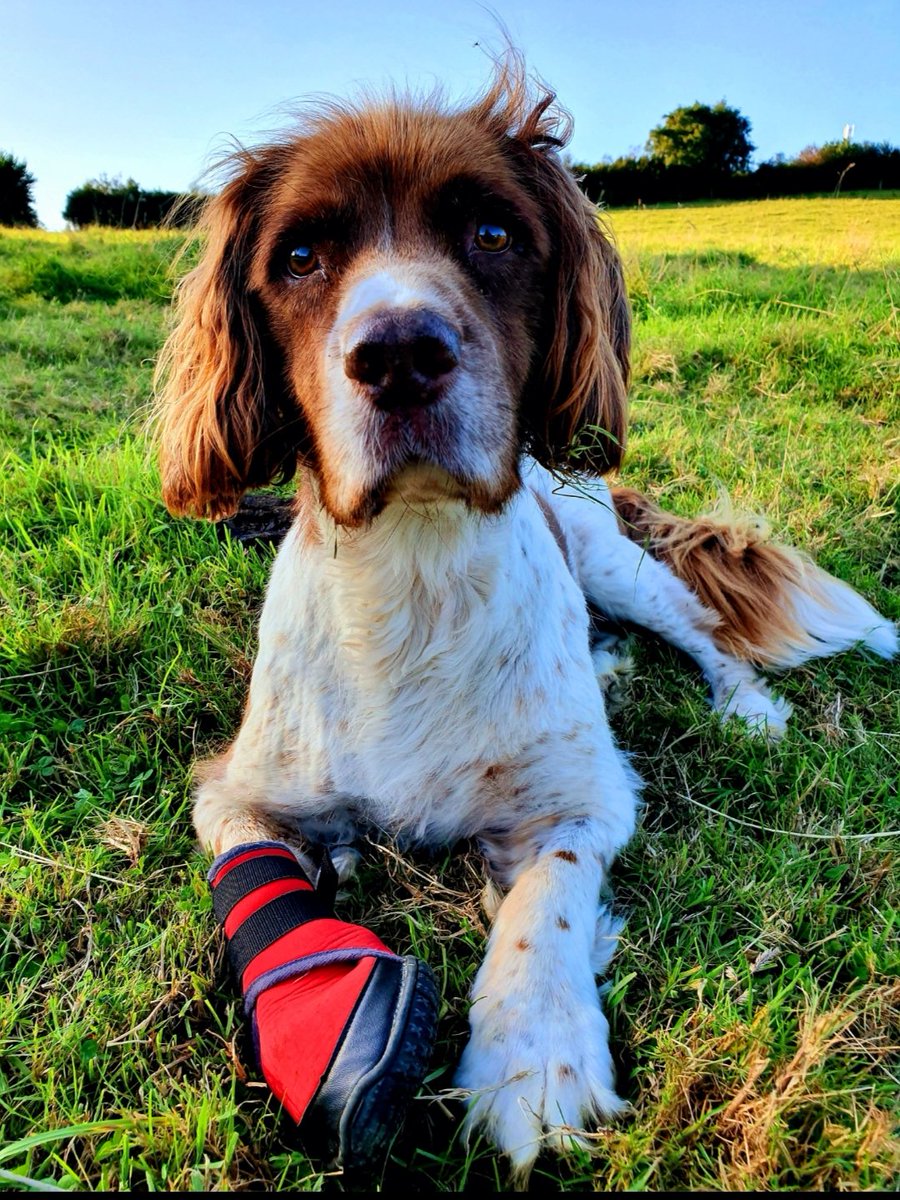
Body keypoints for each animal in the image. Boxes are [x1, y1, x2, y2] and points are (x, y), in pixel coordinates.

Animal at [153, 58, 897, 1171]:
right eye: (300, 257)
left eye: (494, 234)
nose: (399, 354)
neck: (413, 573)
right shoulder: (238, 792)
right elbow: (261, 870)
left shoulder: (588, 796)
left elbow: (548, 897)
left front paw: (535, 1058)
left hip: (613, 559)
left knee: (699, 627)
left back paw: (745, 706)